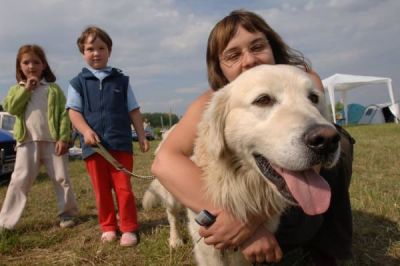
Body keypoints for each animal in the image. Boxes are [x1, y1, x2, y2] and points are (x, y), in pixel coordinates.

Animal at [142, 65, 340, 266]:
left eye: (314, 98)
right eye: (263, 100)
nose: (327, 140)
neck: (241, 183)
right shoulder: (206, 246)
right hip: (171, 195)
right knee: (172, 216)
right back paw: (175, 240)